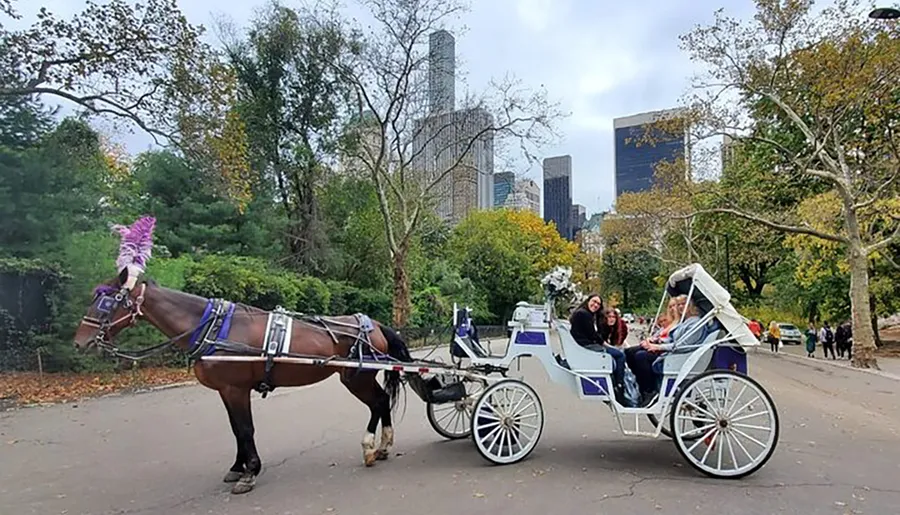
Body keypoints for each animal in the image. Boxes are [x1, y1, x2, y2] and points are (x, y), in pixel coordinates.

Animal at [74, 266, 418, 496]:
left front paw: (249, 473)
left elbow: (245, 429)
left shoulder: (235, 389)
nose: (80, 342)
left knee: (377, 403)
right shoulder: (226, 392)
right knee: (381, 402)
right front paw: (237, 467)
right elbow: (235, 429)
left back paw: (370, 448)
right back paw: (383, 447)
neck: (216, 329)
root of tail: (373, 324)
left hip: (356, 378)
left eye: (107, 302)